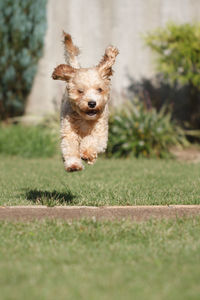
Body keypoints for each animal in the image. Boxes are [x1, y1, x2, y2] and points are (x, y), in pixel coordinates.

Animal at [51, 32, 119, 171]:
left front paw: (87, 153)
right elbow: (70, 147)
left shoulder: (101, 132)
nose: (92, 103)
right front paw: (73, 165)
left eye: (99, 89)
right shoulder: (68, 131)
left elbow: (92, 140)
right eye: (80, 91)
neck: (85, 119)